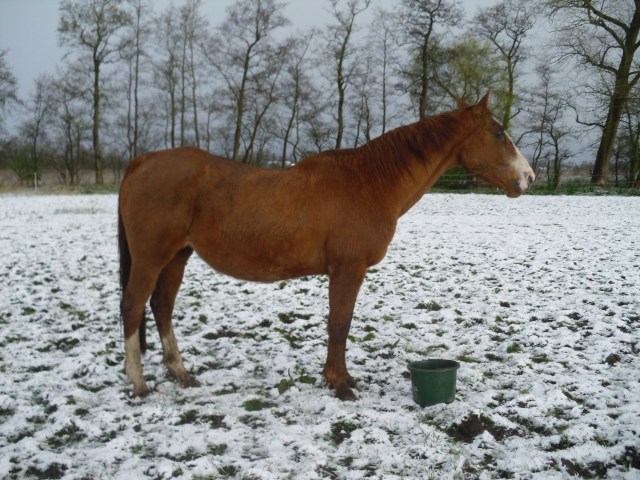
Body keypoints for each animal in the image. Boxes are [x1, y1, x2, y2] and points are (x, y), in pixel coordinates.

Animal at [118, 93, 535, 401]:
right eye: (498, 133)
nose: (528, 177)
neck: (369, 182)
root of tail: (143, 160)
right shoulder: (348, 269)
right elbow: (339, 324)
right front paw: (339, 384)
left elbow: (339, 325)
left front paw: (342, 379)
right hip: (151, 258)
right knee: (133, 306)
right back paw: (139, 384)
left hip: (177, 256)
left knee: (162, 308)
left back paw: (182, 375)